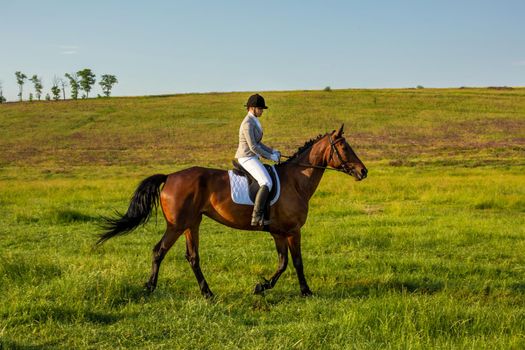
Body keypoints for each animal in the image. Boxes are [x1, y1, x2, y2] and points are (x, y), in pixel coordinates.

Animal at [99, 124, 368, 296]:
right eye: (345, 148)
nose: (363, 171)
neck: (296, 180)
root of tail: (170, 176)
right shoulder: (293, 231)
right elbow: (297, 262)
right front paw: (306, 291)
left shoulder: (278, 233)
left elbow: (283, 263)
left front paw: (261, 287)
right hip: (177, 225)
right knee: (159, 251)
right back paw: (150, 287)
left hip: (191, 224)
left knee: (192, 257)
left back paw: (207, 292)